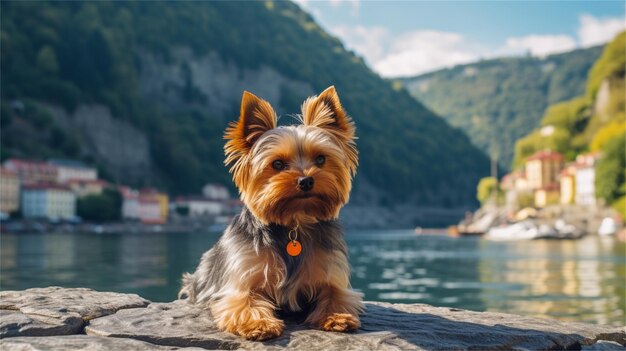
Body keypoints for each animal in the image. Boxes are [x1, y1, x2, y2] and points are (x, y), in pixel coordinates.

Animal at [178, 86, 360, 342]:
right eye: (278, 164)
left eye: (321, 159)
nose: (306, 180)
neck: (295, 223)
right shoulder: (241, 281)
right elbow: (246, 302)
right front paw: (259, 324)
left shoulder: (330, 272)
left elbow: (336, 294)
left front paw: (337, 317)